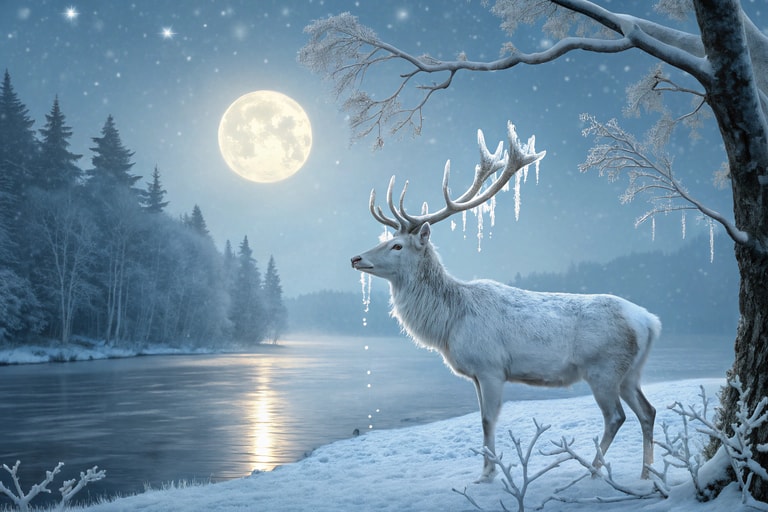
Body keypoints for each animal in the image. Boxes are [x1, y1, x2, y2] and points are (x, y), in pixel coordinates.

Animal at [350, 121, 661, 483]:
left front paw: (487, 474)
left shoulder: (491, 366)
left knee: (616, 416)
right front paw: (487, 470)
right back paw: (646, 473)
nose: (356, 258)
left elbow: (488, 420)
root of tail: (650, 322)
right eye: (387, 239)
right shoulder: (475, 374)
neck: (449, 324)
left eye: (397, 246)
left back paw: (594, 470)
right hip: (631, 372)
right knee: (648, 411)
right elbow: (481, 418)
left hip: (603, 368)